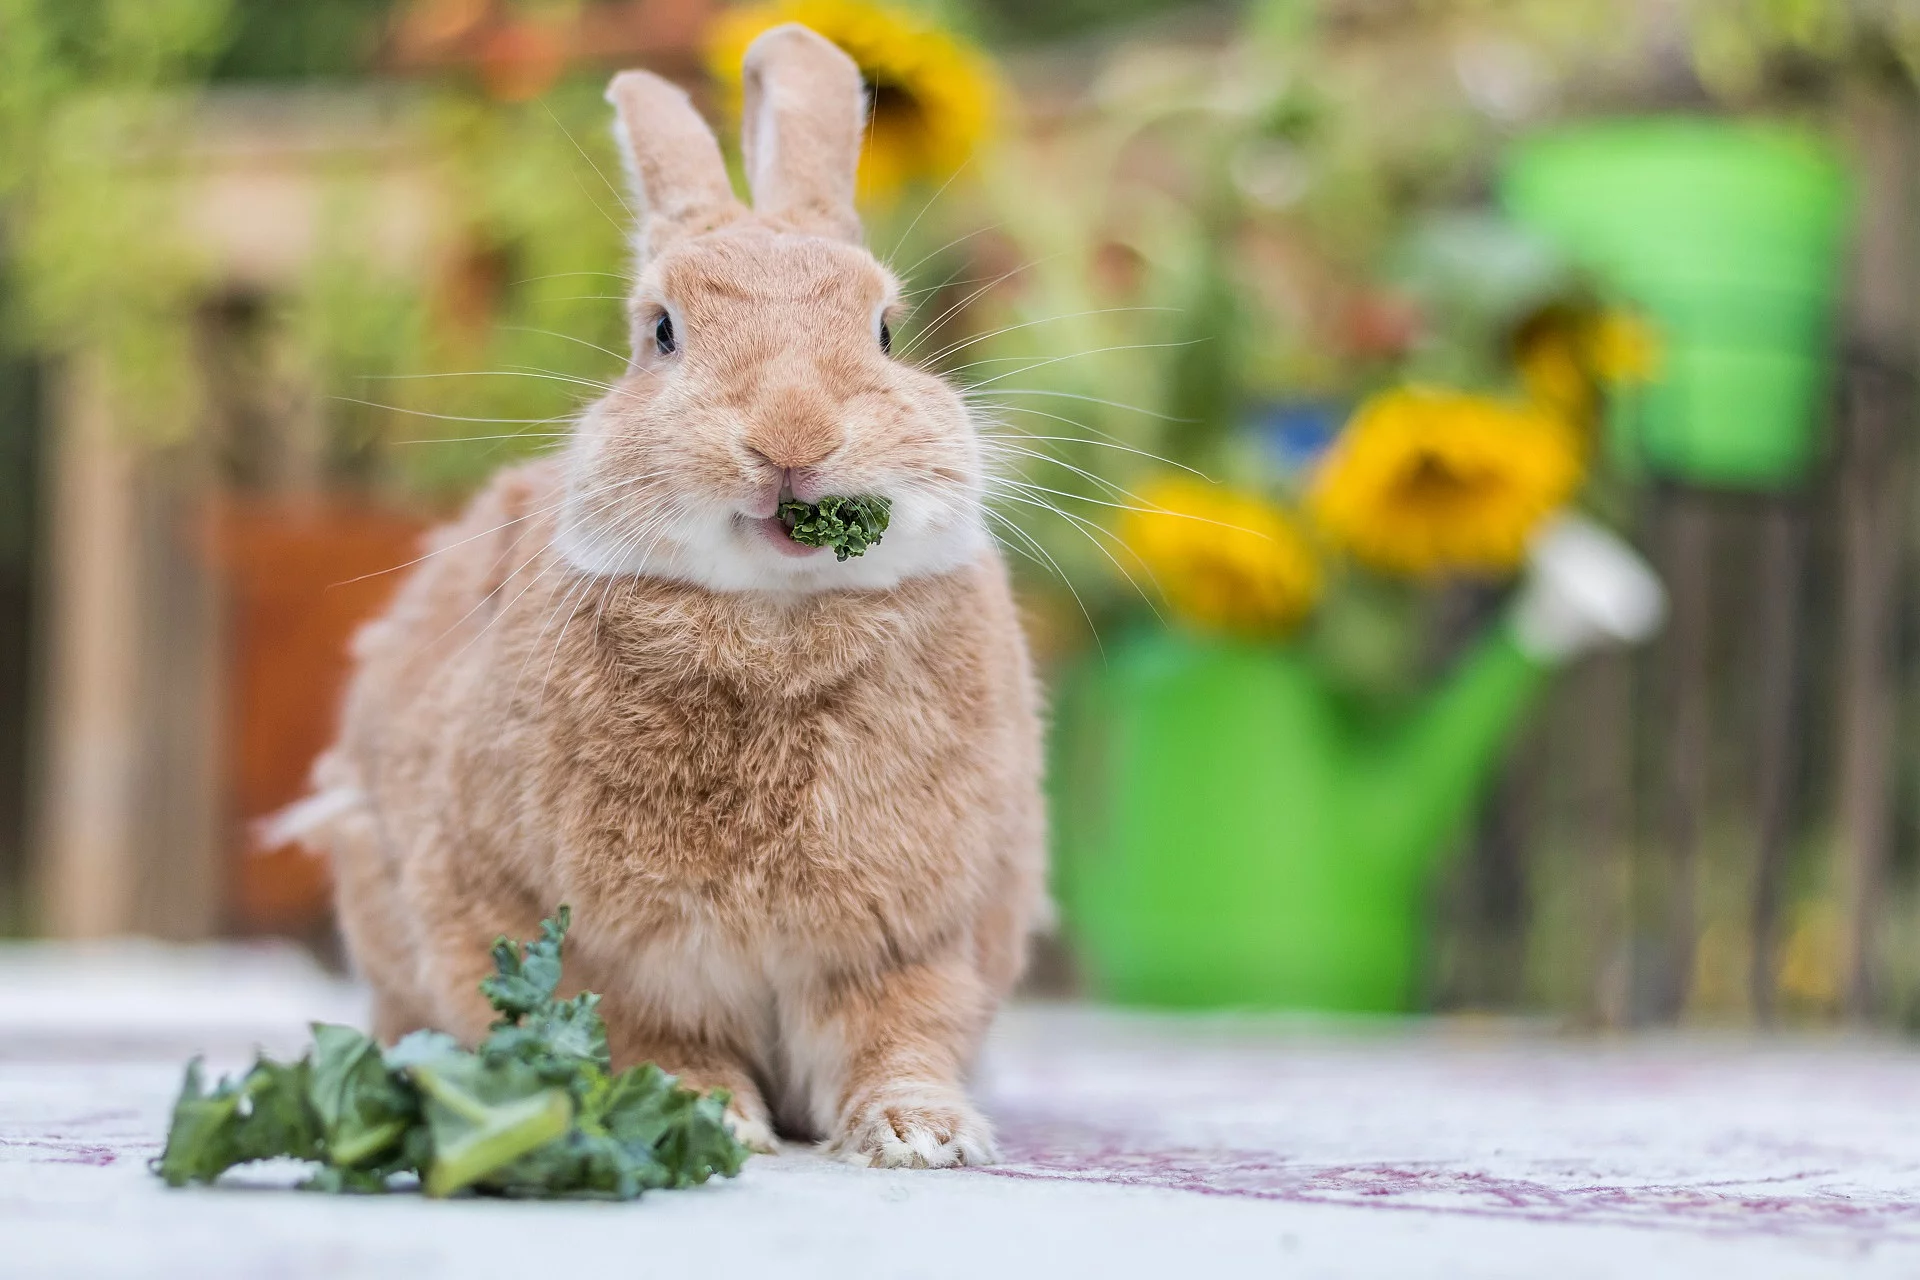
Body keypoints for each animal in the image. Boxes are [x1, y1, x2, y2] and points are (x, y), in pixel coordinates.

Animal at [287, 24, 1046, 1169]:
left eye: (885, 331)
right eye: (662, 332)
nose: (791, 435)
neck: (775, 618)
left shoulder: (916, 941)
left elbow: (899, 1034)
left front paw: (922, 1133)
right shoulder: (601, 948)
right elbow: (651, 1037)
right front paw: (706, 1116)